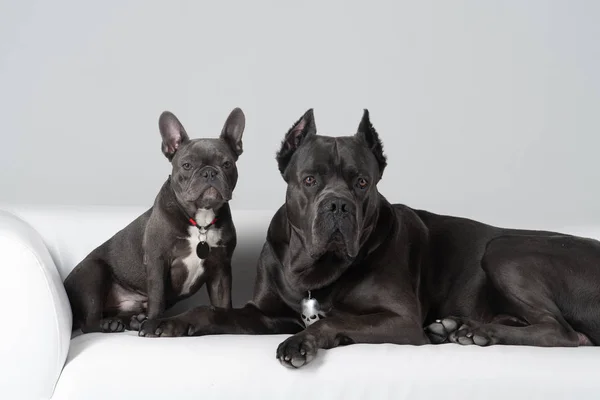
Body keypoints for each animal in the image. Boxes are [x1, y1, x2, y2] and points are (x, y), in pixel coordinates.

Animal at [64, 108, 245, 332]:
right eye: (187, 165)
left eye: (227, 164)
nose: (209, 172)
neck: (200, 221)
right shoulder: (157, 261)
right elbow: (157, 297)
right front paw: (153, 326)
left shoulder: (221, 269)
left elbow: (223, 304)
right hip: (94, 270)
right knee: (89, 323)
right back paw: (111, 325)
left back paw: (134, 320)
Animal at [138, 108, 596, 368]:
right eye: (309, 180)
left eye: (362, 182)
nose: (337, 205)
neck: (312, 269)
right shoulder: (264, 313)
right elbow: (216, 312)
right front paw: (169, 322)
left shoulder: (400, 319)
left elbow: (336, 319)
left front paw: (301, 342)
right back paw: (464, 327)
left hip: (504, 251)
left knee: (563, 332)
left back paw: (474, 331)